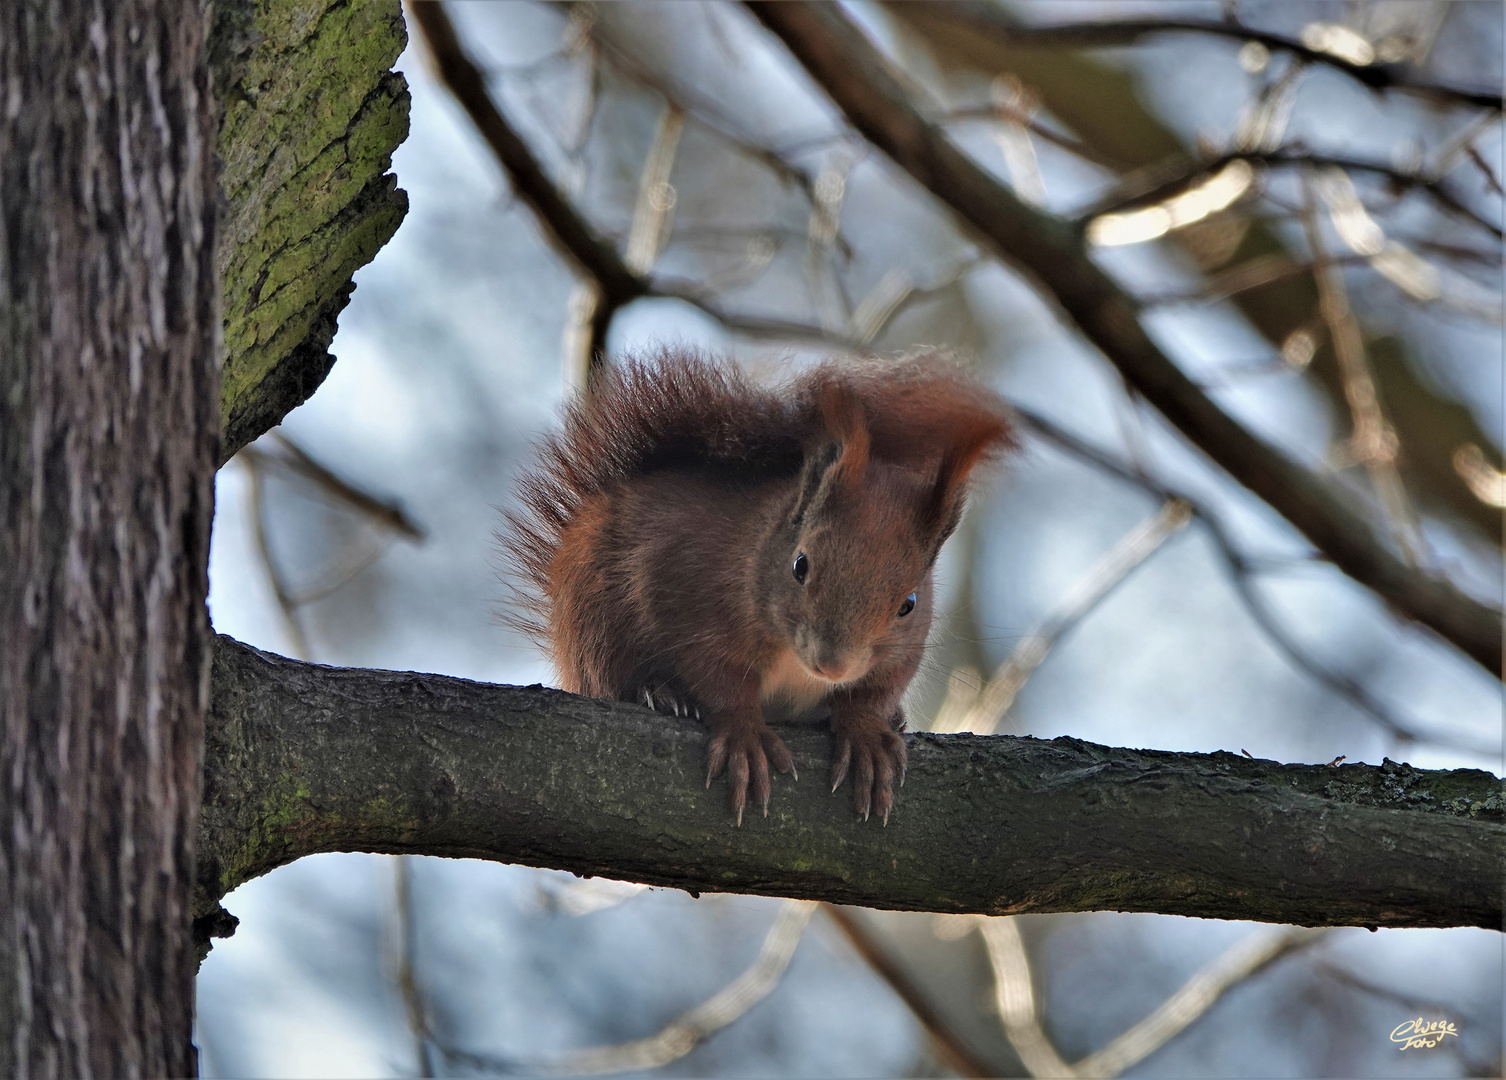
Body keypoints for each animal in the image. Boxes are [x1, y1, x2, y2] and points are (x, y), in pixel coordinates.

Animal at [503, 349, 1012, 819]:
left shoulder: (900, 655)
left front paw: (867, 732)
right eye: (800, 565)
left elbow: (875, 690)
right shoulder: (691, 600)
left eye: (909, 603)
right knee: (607, 674)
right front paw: (744, 734)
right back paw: (659, 694)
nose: (833, 664)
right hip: (594, 620)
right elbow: (720, 679)